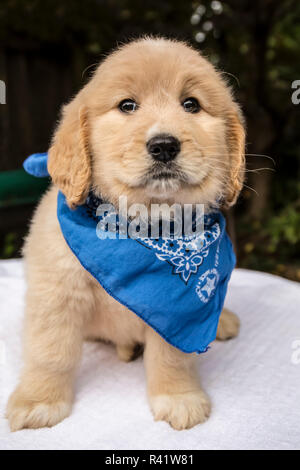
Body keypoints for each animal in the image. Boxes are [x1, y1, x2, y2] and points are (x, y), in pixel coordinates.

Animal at [6, 38, 244, 432]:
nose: (164, 145)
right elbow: (50, 352)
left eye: (191, 104)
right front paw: (38, 400)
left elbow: (172, 357)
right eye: (127, 106)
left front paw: (178, 398)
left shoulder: (173, 316)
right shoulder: (56, 295)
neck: (147, 226)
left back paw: (222, 320)